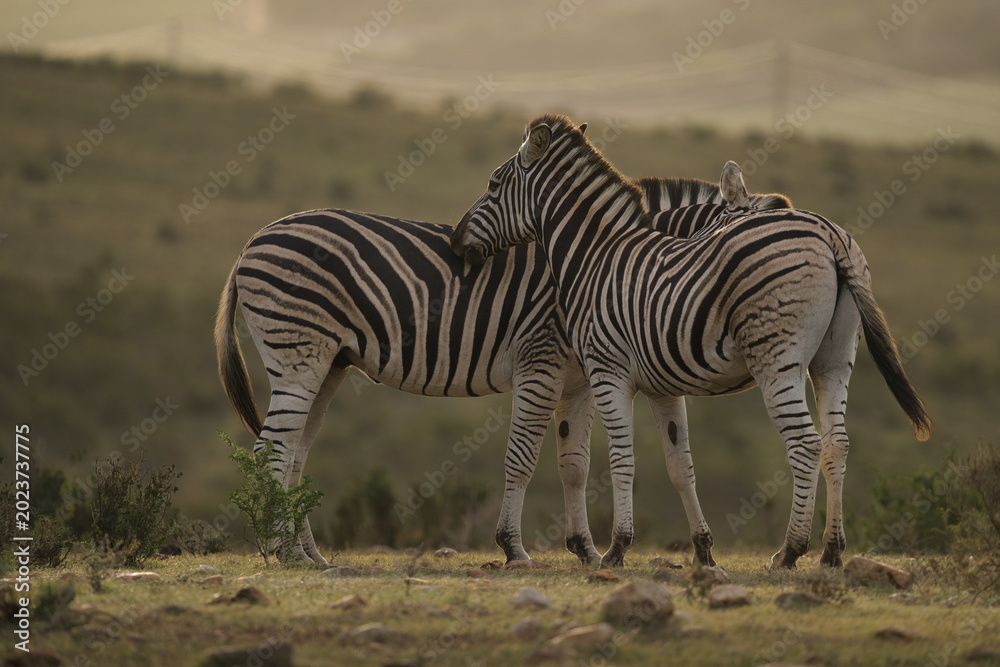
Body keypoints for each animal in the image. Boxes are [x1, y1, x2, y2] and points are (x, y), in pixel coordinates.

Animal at [214, 165, 787, 567]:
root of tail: (251, 241)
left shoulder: (578, 381)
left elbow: (574, 465)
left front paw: (586, 551)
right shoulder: (541, 362)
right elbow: (523, 459)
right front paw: (514, 548)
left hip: (328, 363)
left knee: (294, 452)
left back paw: (307, 554)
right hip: (298, 352)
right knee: (272, 449)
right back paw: (282, 552)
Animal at [450, 113, 931, 570]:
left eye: (493, 184)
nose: (456, 243)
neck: (594, 255)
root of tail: (828, 233)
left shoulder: (608, 372)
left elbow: (621, 460)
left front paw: (617, 549)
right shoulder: (662, 387)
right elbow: (680, 465)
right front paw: (702, 550)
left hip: (777, 361)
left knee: (805, 443)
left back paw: (791, 551)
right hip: (833, 359)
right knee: (837, 444)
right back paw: (831, 552)